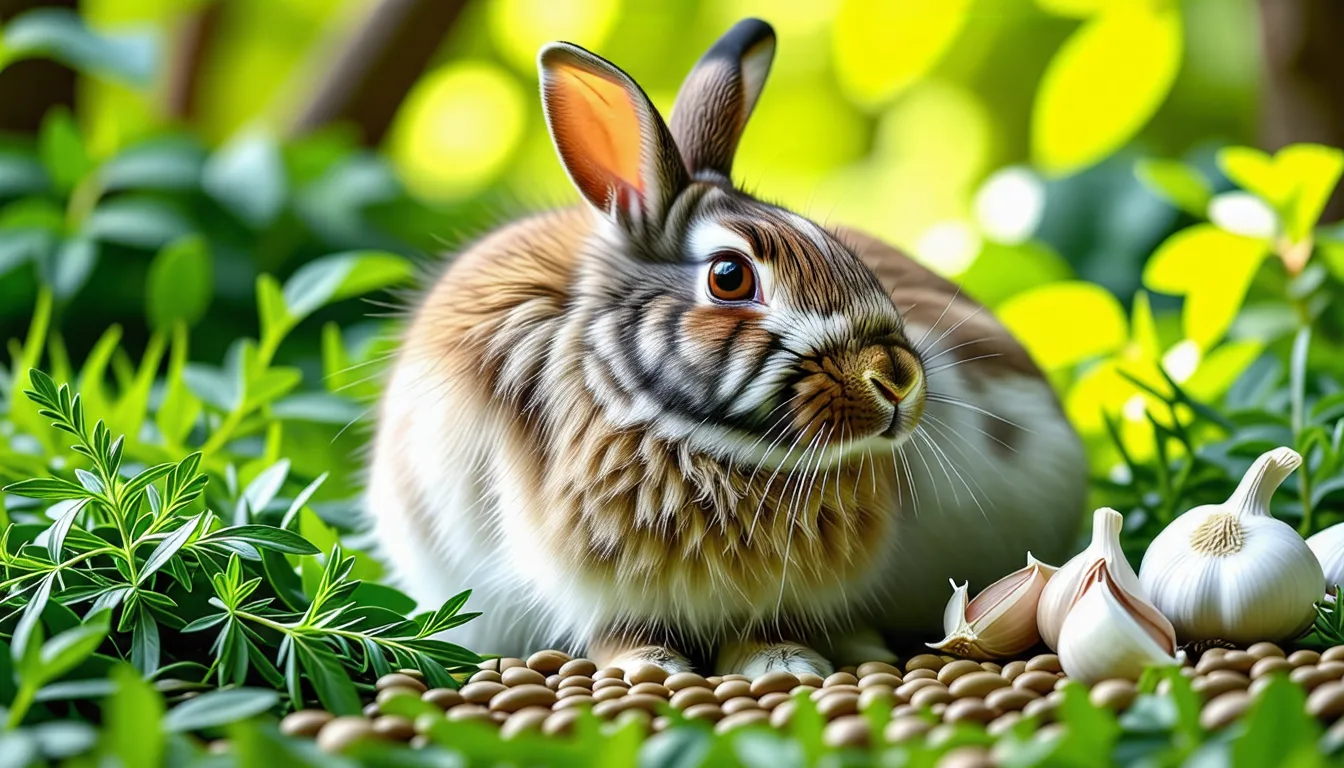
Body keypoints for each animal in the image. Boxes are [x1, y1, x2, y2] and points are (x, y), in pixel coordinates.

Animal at [366, 17, 1087, 676]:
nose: (898, 378)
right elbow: (616, 632)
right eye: (730, 277)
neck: (704, 448)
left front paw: (784, 663)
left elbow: (767, 624)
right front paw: (652, 667)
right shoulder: (591, 586)